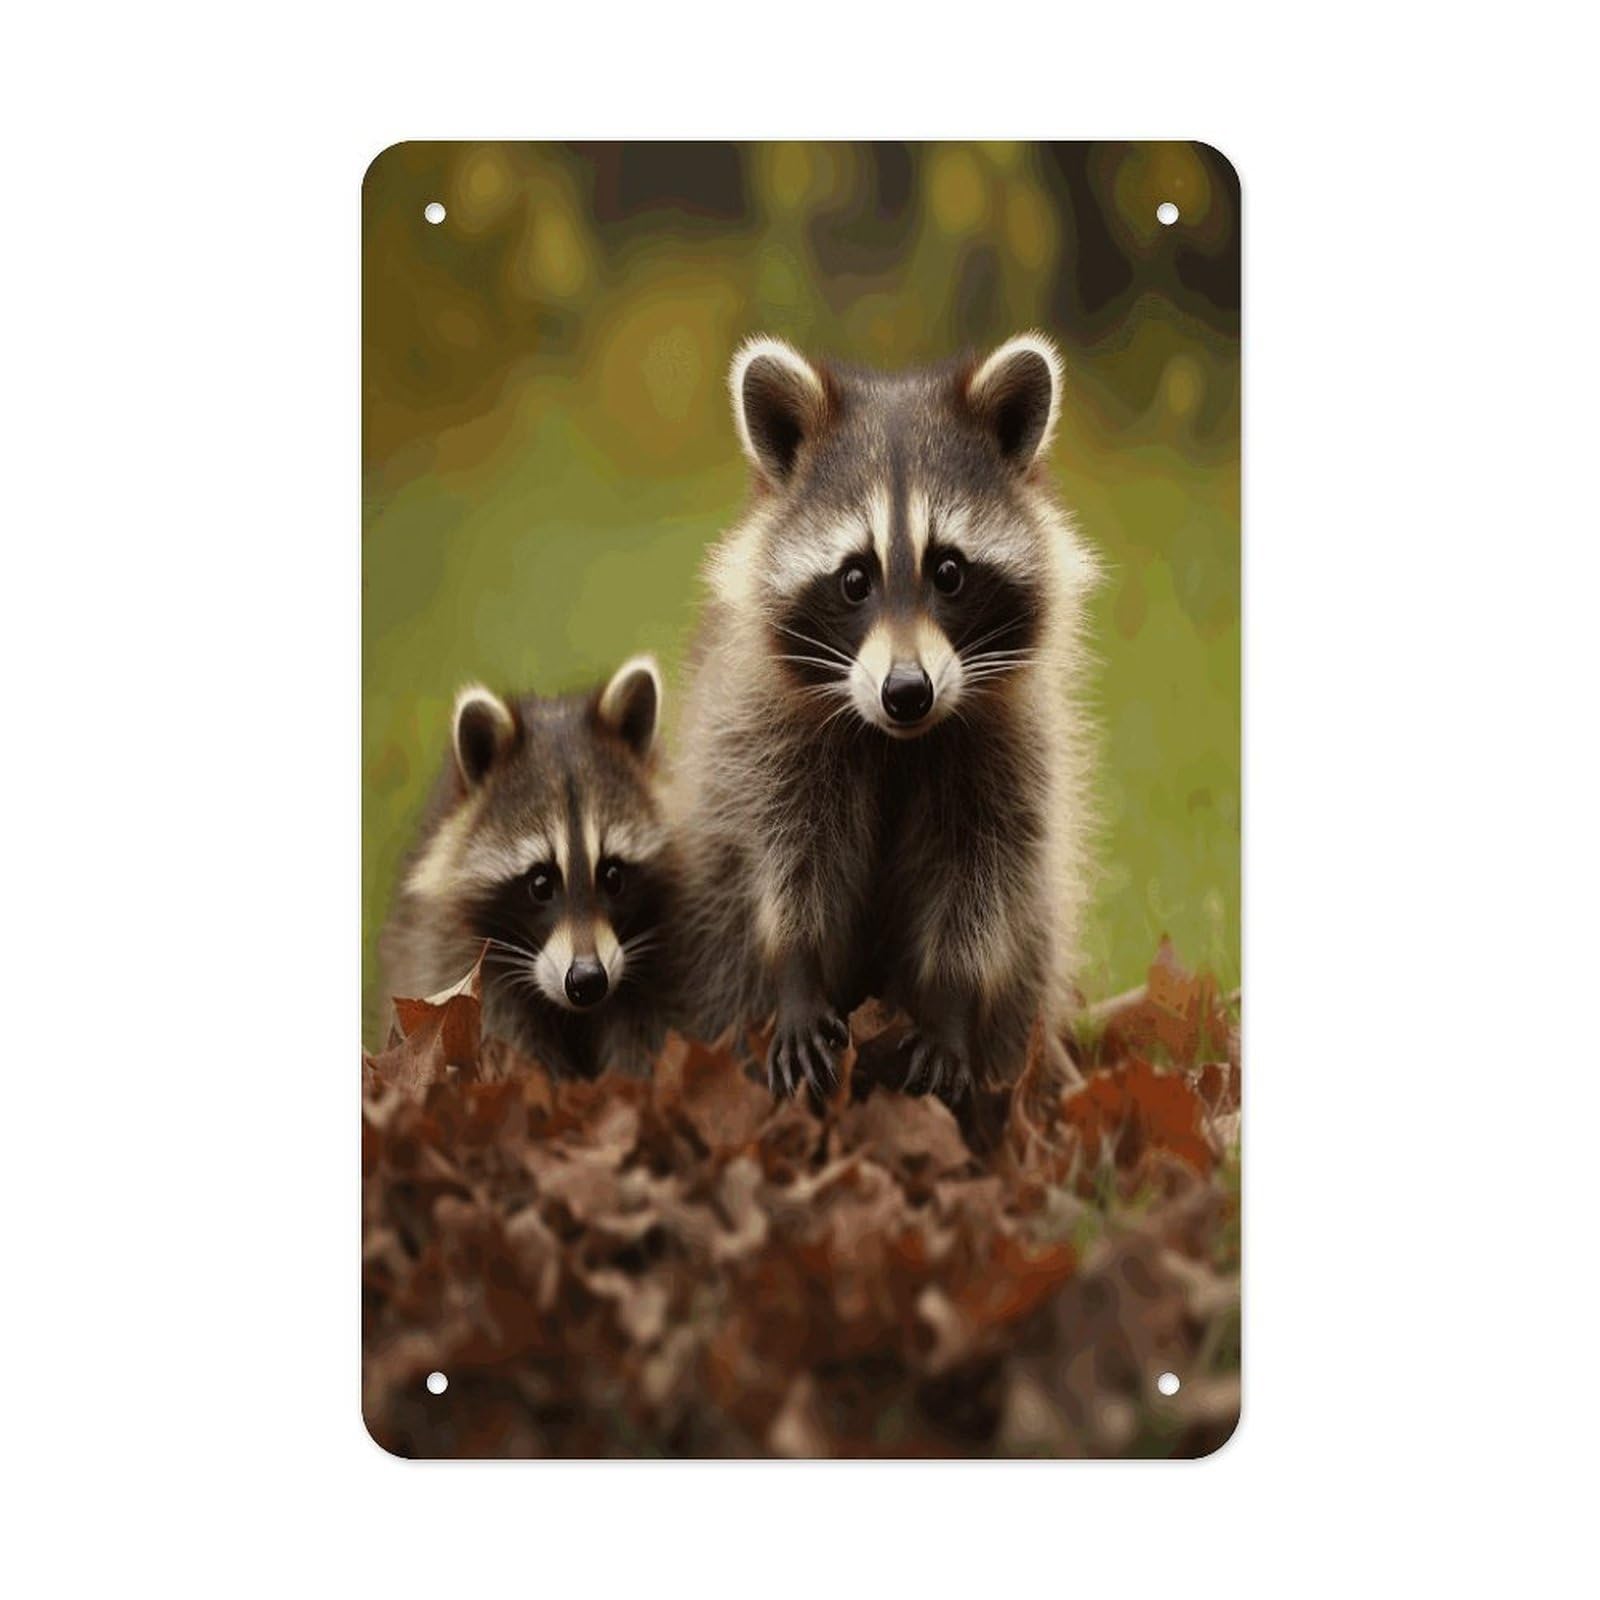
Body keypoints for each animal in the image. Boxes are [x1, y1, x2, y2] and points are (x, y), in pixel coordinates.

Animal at [671, 333, 1098, 1102]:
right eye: (853, 579)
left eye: (949, 572)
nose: (906, 692)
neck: (899, 739)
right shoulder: (764, 736)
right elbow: (788, 859)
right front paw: (797, 972)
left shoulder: (1009, 747)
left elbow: (981, 878)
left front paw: (951, 1004)